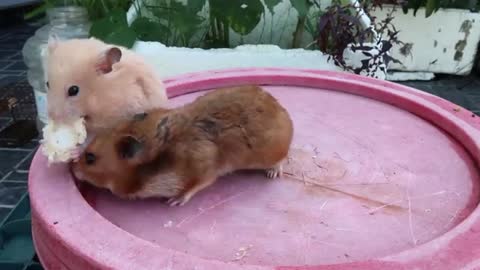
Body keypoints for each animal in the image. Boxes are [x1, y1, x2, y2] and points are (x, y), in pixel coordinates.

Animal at [71, 85, 294, 206]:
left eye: (90, 158)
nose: (72, 169)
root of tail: (281, 110)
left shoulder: (204, 170)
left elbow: (195, 186)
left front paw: (173, 202)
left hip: (269, 154)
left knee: (282, 159)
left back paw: (273, 173)